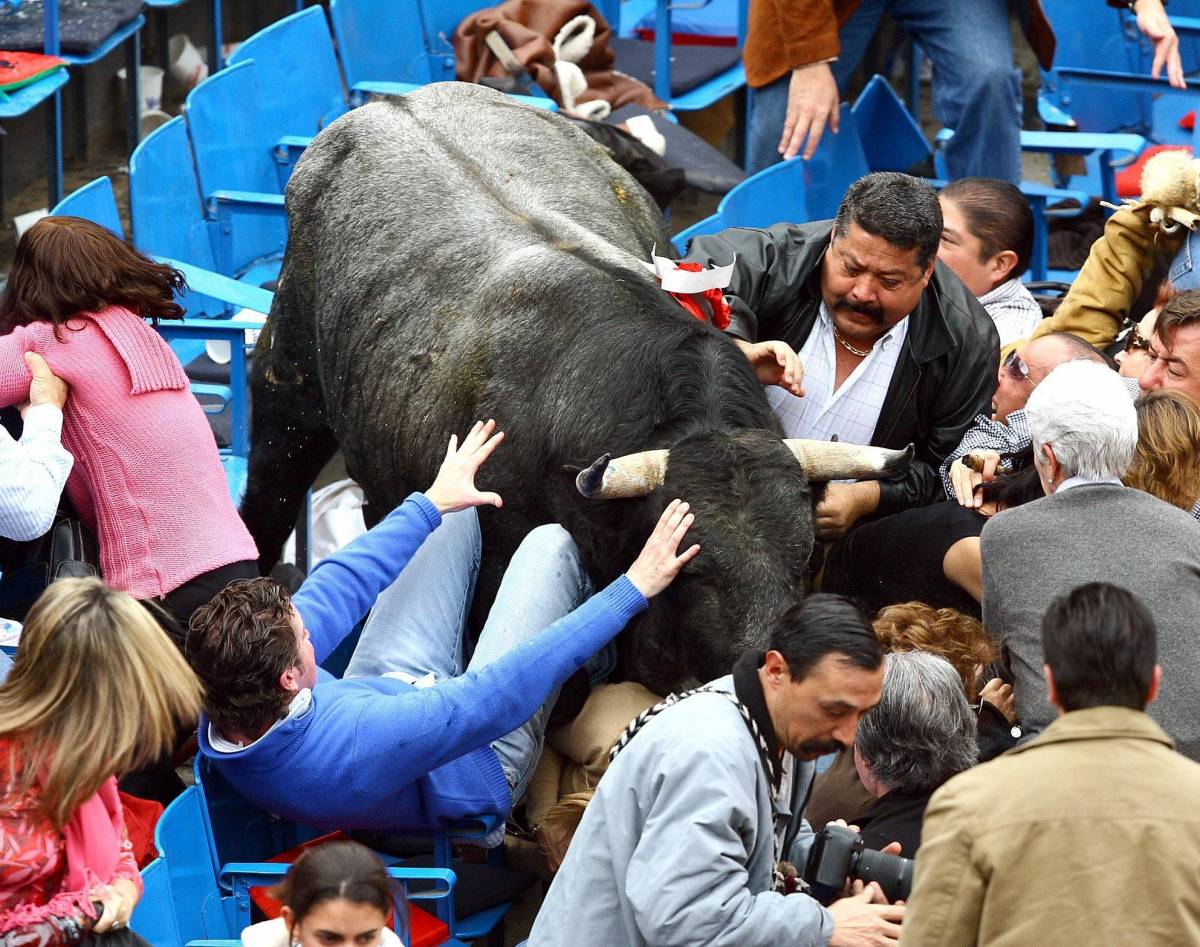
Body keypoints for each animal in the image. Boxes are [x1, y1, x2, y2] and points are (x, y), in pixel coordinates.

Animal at [238, 83, 902, 696]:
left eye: (804, 558)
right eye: (694, 569)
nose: (768, 666)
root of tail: (390, 105)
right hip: (286, 388)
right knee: (271, 491)